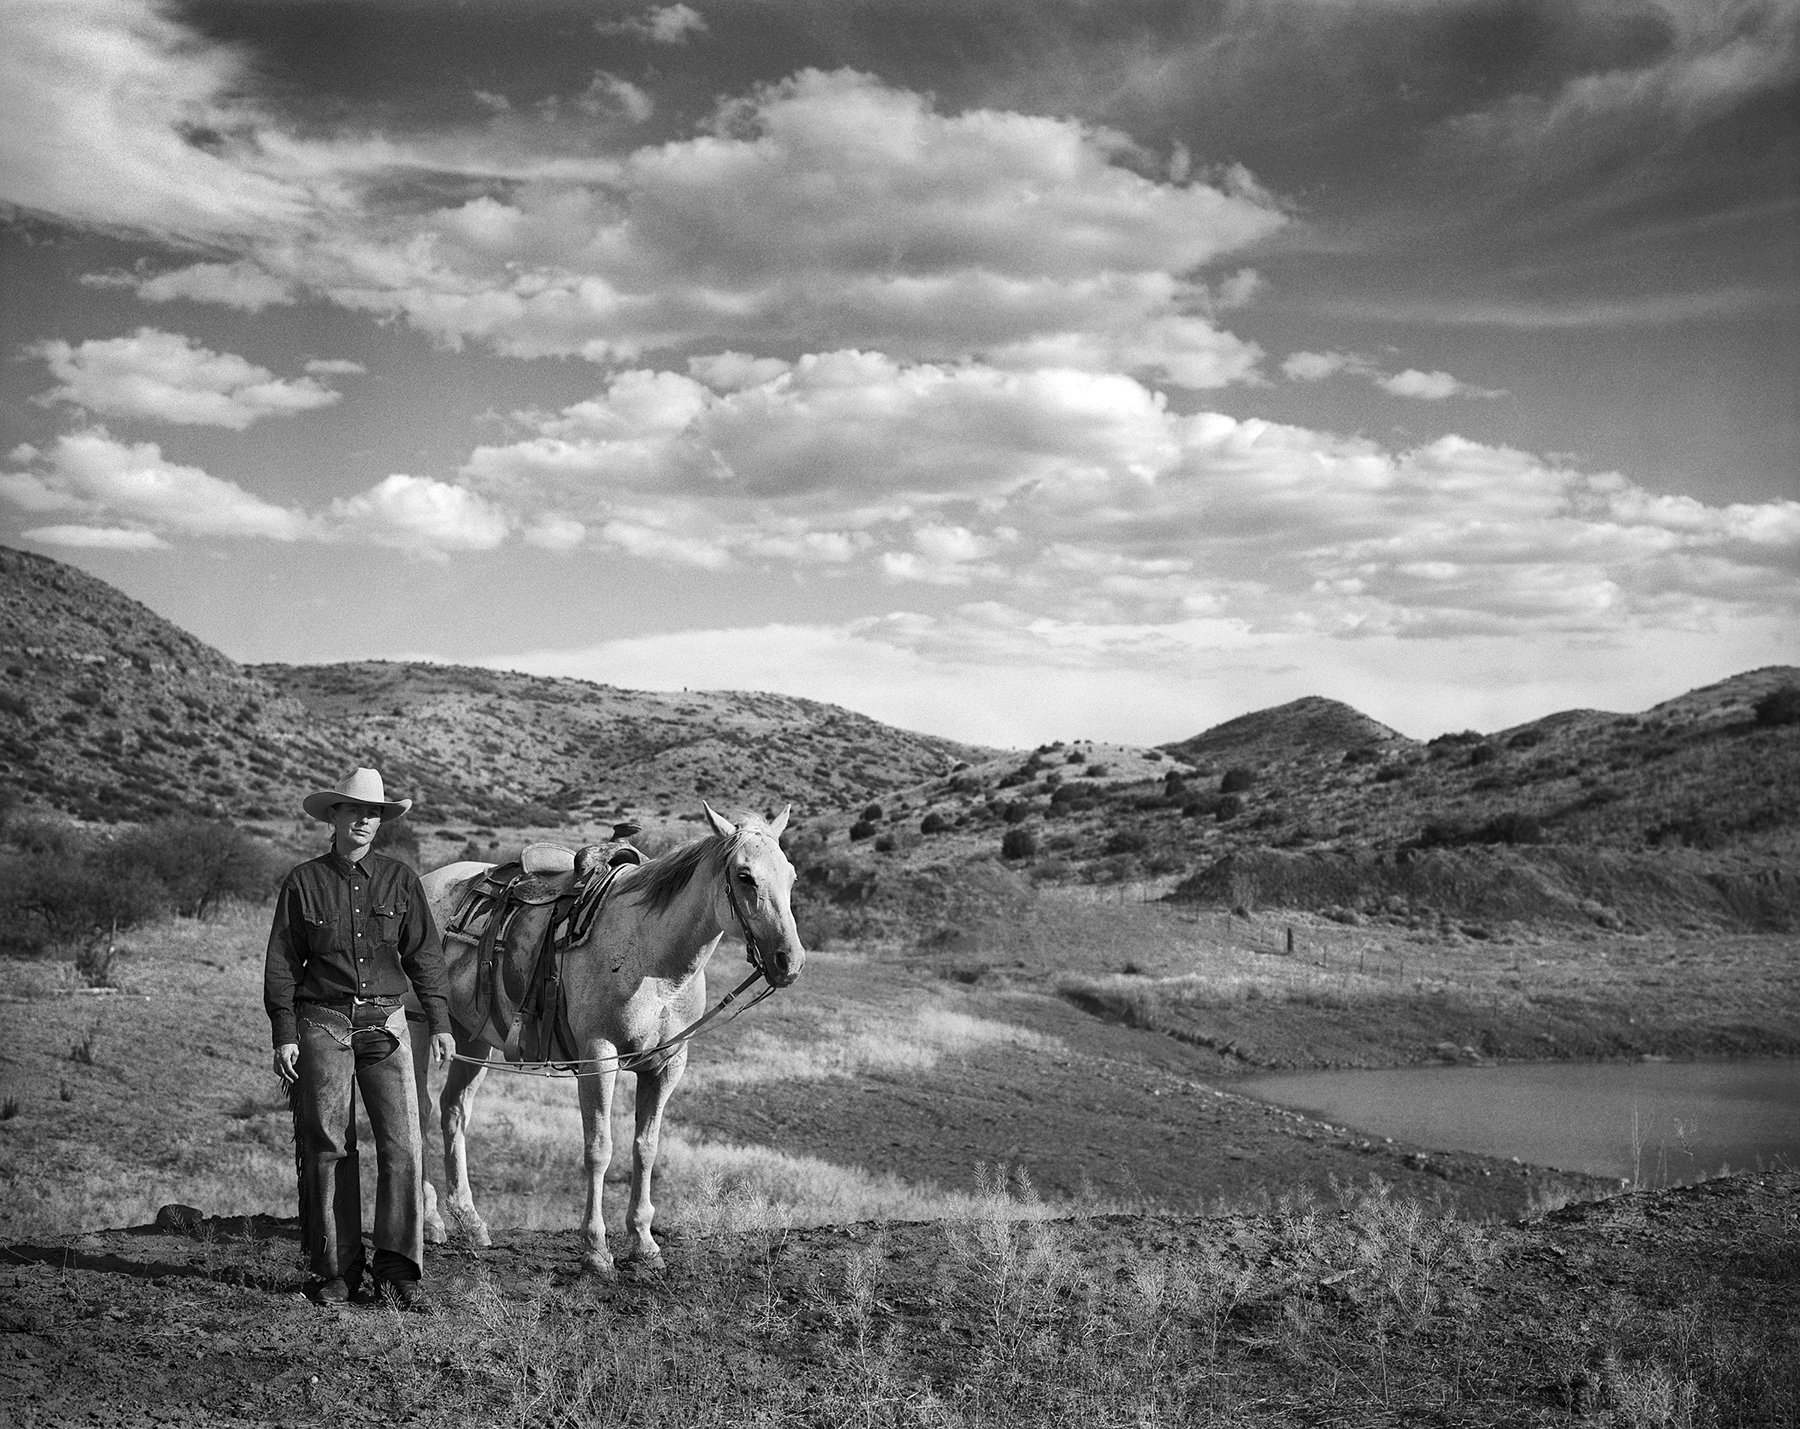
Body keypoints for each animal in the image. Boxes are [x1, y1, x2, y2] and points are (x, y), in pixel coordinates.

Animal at [408, 795, 810, 1274]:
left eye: (791, 875)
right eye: (744, 876)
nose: (789, 961)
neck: (653, 957)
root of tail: (428, 881)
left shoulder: (667, 1065)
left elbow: (645, 1148)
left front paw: (644, 1242)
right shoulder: (599, 1058)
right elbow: (599, 1148)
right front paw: (596, 1248)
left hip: (472, 1037)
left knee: (454, 1112)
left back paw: (471, 1223)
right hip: (421, 1029)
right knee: (423, 1110)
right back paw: (430, 1221)